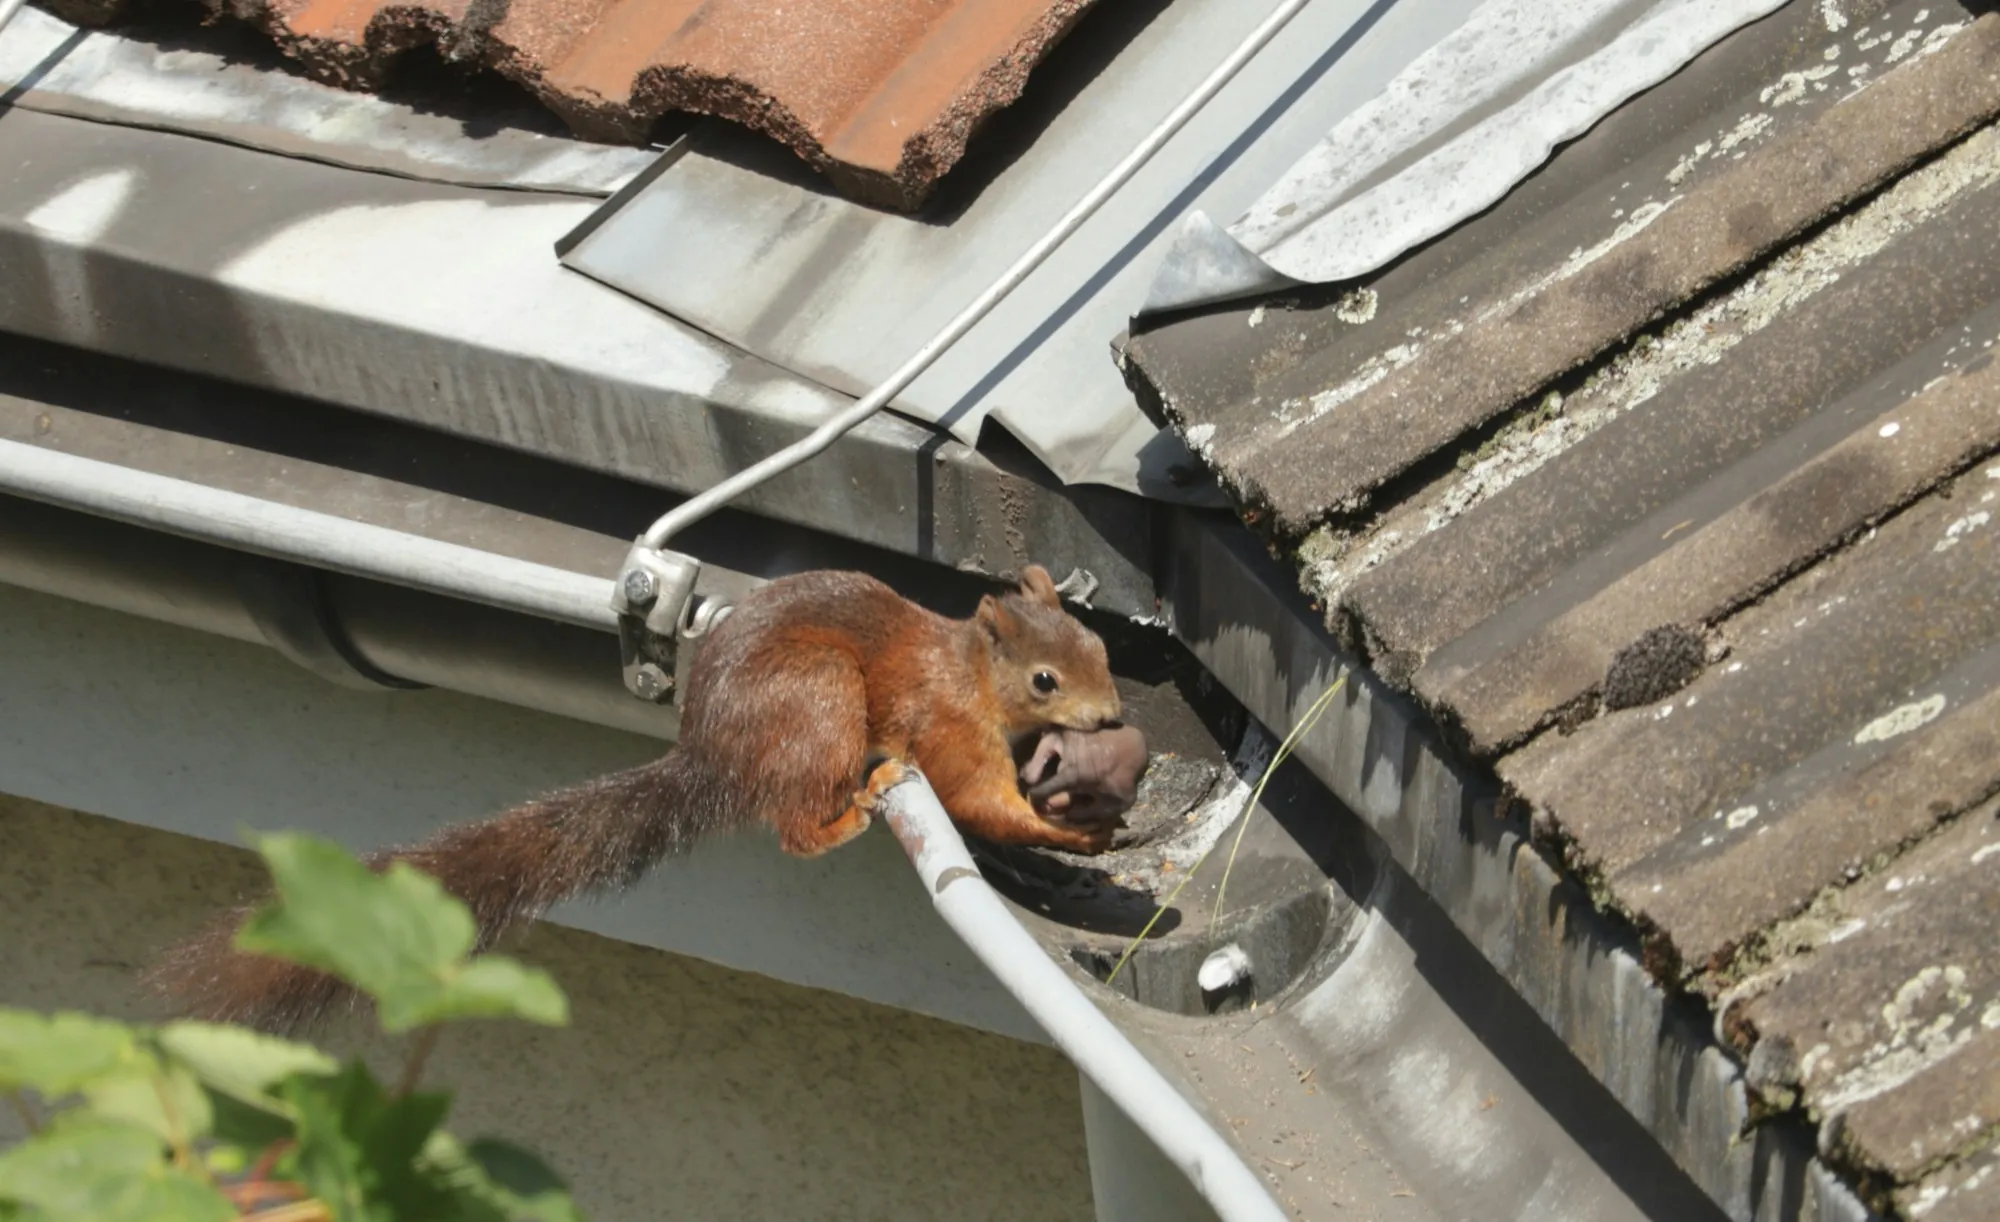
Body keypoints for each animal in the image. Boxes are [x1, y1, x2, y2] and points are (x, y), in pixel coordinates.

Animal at [147, 564, 1139, 1033]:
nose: (1114, 715)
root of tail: (713, 757)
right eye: (1046, 679)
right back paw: (858, 803)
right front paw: (1081, 841)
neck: (970, 673)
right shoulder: (948, 725)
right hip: (820, 704)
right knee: (793, 824)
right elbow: (976, 800)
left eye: (1101, 646)